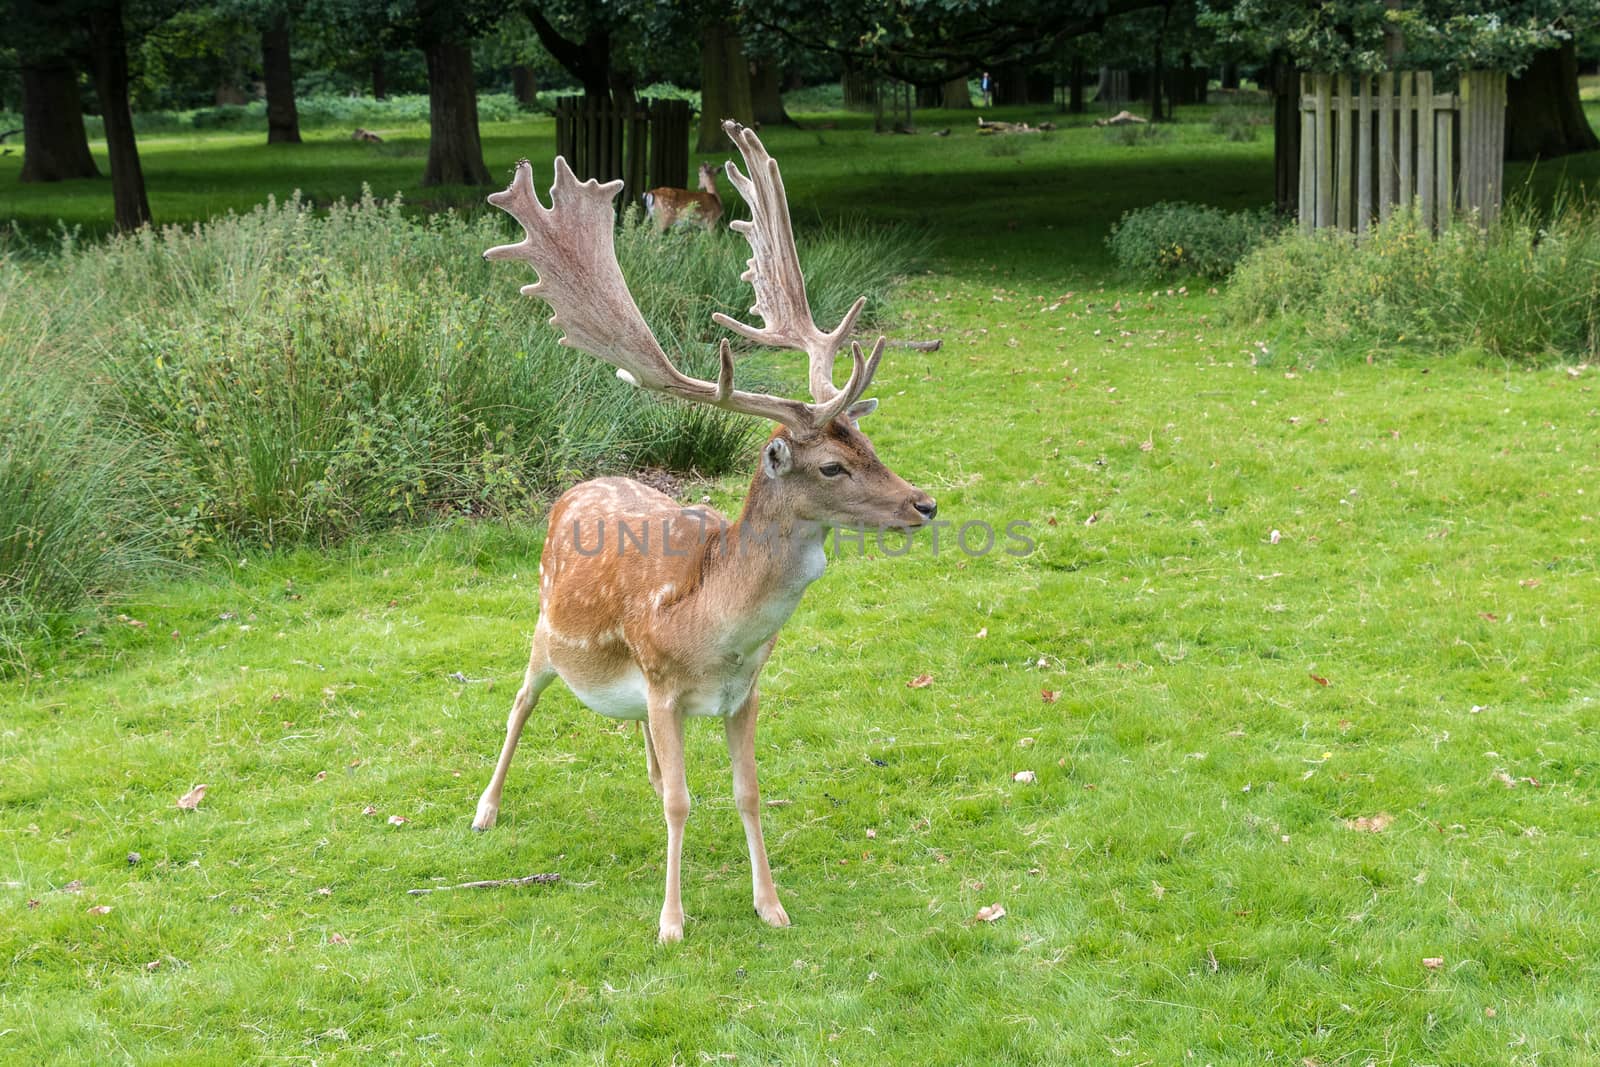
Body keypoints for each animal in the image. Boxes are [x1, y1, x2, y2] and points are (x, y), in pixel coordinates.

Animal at [473, 119, 934, 940]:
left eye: (868, 443)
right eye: (831, 467)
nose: (924, 503)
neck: (714, 631)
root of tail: (579, 484)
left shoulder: (746, 691)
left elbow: (746, 792)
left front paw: (772, 906)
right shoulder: (661, 684)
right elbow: (683, 803)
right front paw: (671, 922)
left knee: (644, 755)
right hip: (544, 629)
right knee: (520, 699)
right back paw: (486, 808)